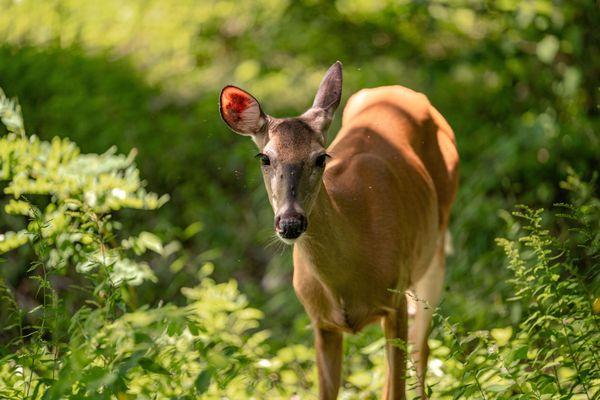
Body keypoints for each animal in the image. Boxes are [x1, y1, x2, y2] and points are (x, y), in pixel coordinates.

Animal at [220, 61, 460, 398]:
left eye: (321, 157)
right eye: (265, 157)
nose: (290, 222)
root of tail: (399, 90)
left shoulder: (395, 299)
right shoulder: (321, 322)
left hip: (433, 251)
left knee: (420, 348)